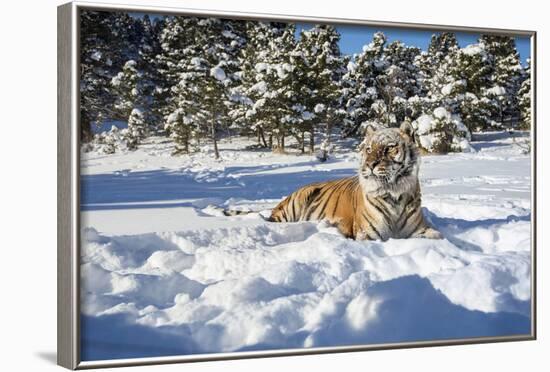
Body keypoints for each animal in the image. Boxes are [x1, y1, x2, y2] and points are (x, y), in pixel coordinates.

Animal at [270, 122, 446, 241]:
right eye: (368, 149)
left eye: (389, 148)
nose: (370, 164)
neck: (394, 193)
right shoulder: (367, 234)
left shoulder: (420, 229)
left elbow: (437, 235)